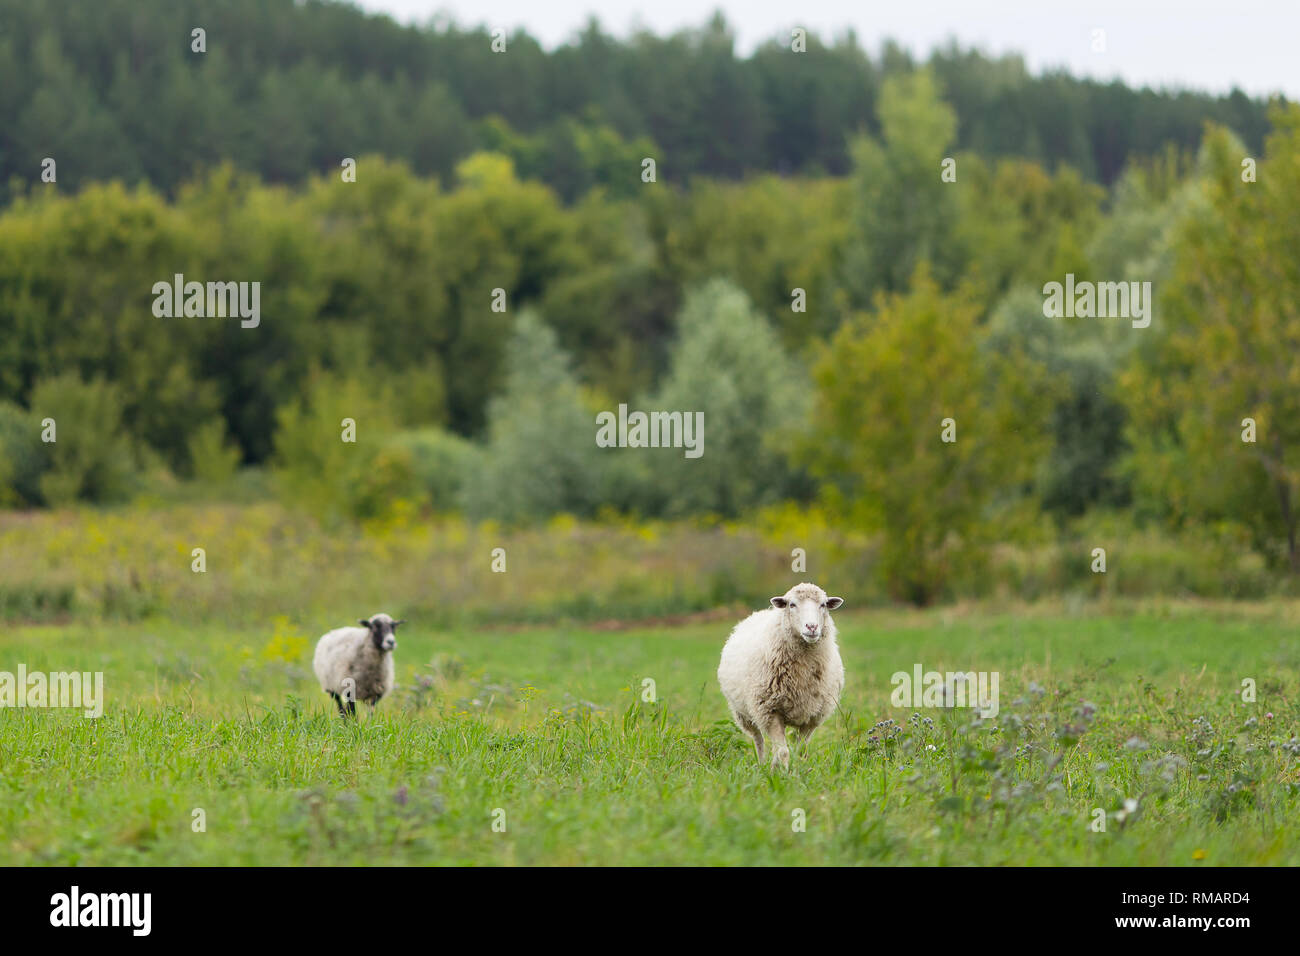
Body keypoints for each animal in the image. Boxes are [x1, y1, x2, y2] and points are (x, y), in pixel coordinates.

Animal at [717, 583, 845, 770]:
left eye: (823, 605)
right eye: (792, 604)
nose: (812, 627)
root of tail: (760, 612)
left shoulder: (812, 717)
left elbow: (799, 751)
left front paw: (797, 771)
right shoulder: (769, 711)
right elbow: (783, 751)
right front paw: (784, 774)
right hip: (743, 712)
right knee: (759, 740)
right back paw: (762, 765)